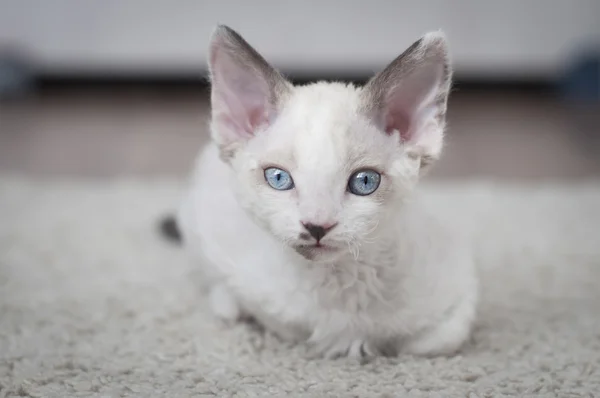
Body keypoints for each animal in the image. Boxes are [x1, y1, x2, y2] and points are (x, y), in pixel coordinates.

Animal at [173, 24, 478, 360]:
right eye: (278, 178)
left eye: (365, 182)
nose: (317, 225)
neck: (337, 282)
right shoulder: (244, 275)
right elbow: (282, 322)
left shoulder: (460, 285)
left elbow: (432, 343)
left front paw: (372, 346)